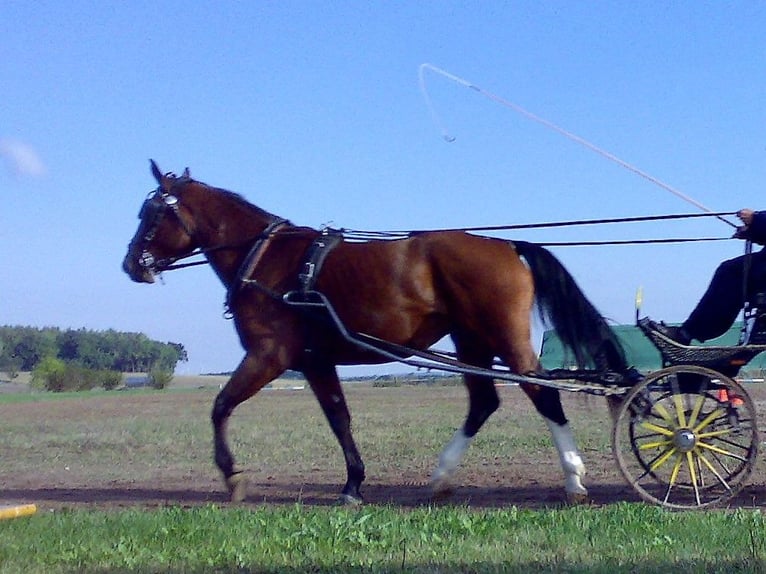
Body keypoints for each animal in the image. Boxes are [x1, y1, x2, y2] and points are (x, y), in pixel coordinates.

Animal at [124, 160, 632, 506]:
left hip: (504, 338)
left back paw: (573, 477)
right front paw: (353, 482)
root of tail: (506, 244)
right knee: (484, 402)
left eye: (151, 213)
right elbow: (339, 418)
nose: (131, 264)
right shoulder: (316, 361)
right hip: (471, 341)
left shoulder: (270, 355)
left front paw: (232, 476)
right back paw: (442, 476)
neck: (268, 259)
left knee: (543, 394)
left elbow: (221, 405)